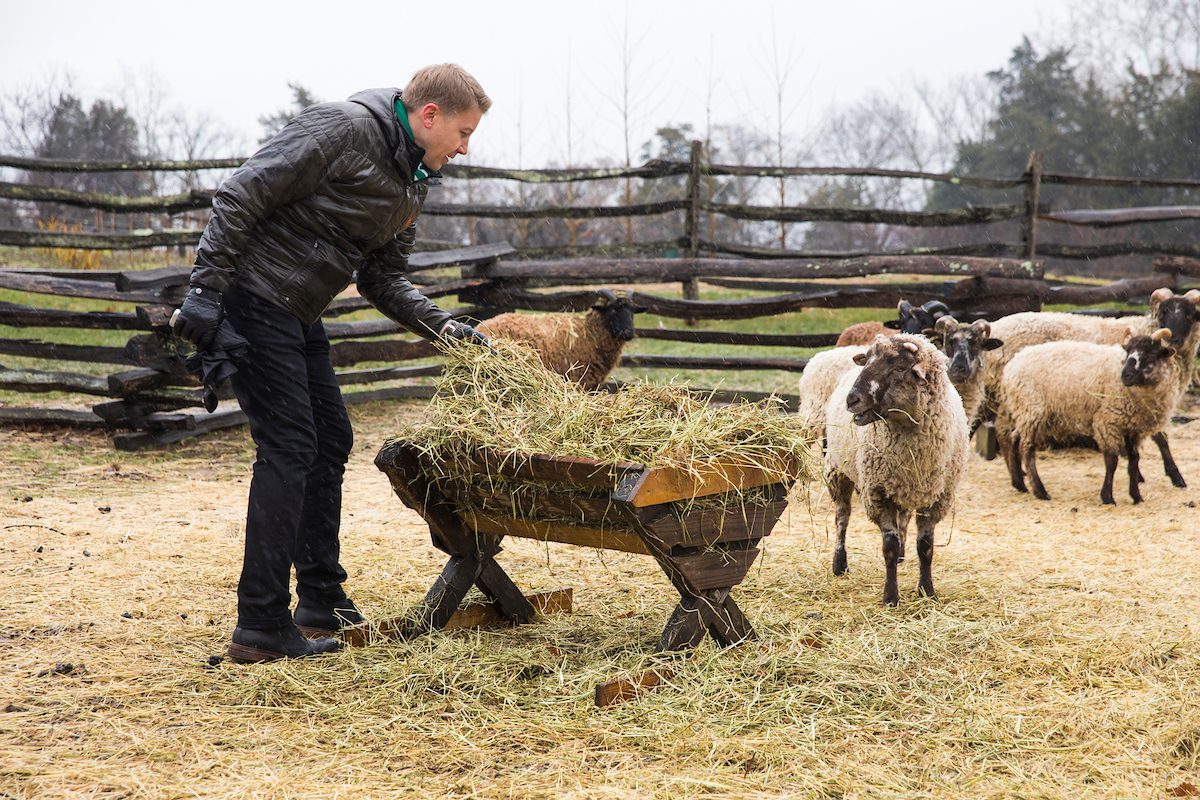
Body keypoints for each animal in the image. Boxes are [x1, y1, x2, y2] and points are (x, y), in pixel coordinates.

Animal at [475, 287, 648, 391]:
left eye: (632, 311)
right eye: (612, 310)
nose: (629, 333)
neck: (590, 333)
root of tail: (482, 326)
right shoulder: (580, 378)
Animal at [820, 333, 969, 606]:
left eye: (900, 368)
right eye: (867, 361)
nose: (851, 400)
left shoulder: (937, 496)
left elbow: (926, 547)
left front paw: (927, 591)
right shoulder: (878, 493)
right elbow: (888, 547)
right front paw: (890, 597)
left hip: (902, 486)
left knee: (903, 519)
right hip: (837, 470)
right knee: (842, 517)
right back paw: (839, 564)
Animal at [993, 326, 1180, 503]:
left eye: (1152, 353)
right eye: (1128, 351)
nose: (1125, 375)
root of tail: (1010, 366)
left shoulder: (1134, 428)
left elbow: (1134, 460)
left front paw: (1136, 496)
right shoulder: (1106, 421)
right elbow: (1111, 461)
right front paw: (1107, 497)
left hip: (1022, 411)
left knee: (1013, 439)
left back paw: (1020, 484)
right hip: (1032, 410)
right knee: (1026, 449)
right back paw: (1040, 491)